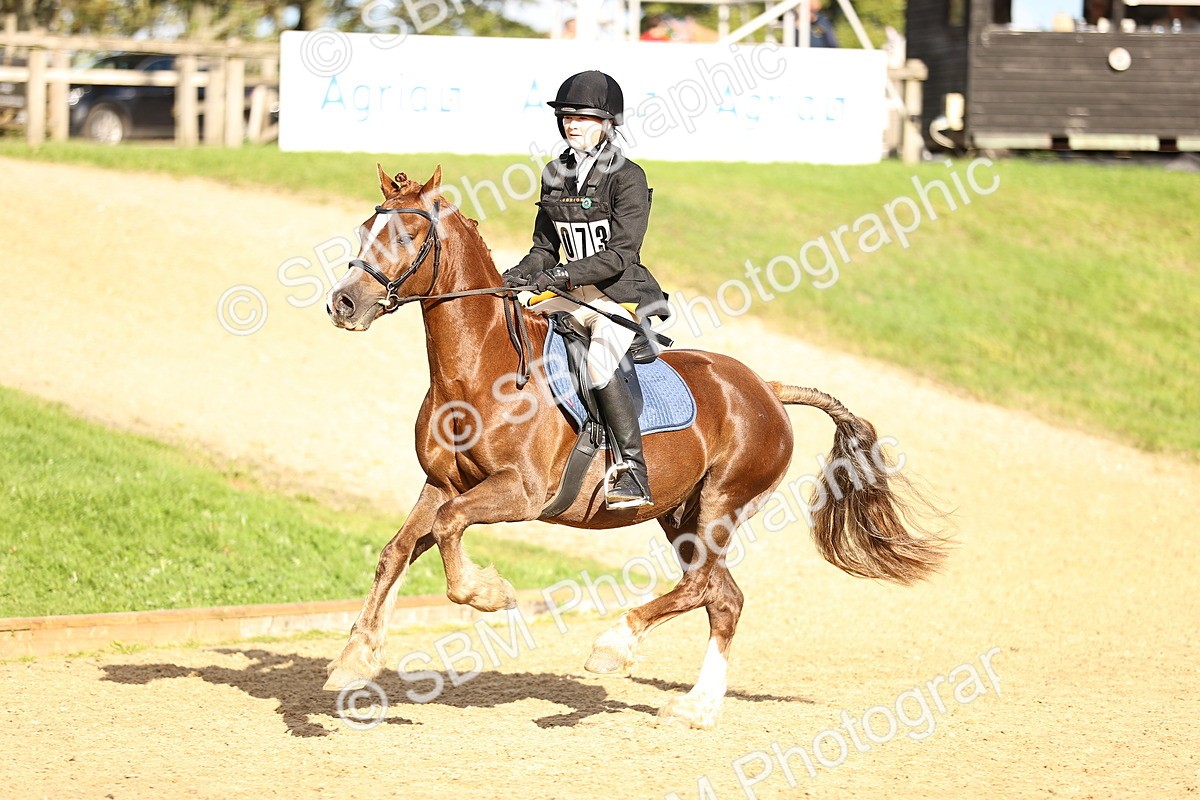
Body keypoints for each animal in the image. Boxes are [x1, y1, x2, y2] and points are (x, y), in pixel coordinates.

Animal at [322, 165, 946, 729]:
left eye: (406, 236)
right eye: (364, 230)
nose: (344, 303)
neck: (482, 371)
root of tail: (765, 387)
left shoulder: (520, 493)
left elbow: (451, 527)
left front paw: (490, 593)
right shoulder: (443, 484)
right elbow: (397, 550)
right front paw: (355, 659)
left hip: (723, 500)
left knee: (700, 587)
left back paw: (614, 645)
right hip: (679, 513)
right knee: (723, 597)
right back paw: (697, 708)